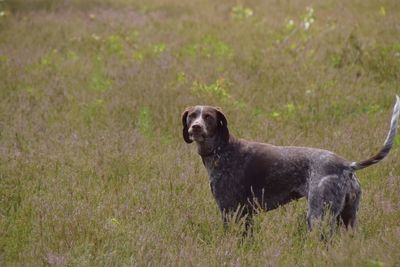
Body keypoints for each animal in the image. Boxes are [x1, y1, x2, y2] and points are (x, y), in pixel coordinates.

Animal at [182, 97, 400, 232]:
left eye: (208, 117)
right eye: (192, 116)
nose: (196, 128)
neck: (222, 150)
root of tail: (347, 166)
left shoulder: (230, 211)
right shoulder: (246, 215)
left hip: (318, 216)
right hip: (347, 218)